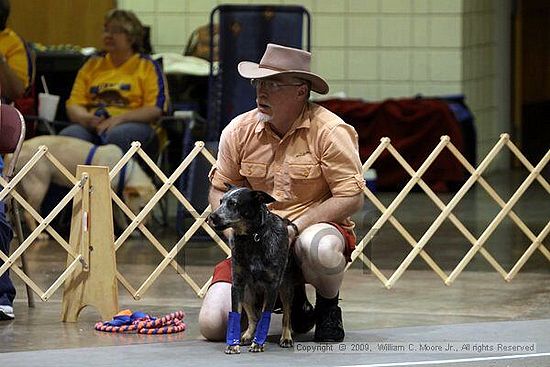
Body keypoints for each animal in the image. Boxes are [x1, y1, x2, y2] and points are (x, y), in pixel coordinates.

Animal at [208, 187, 298, 354]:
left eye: (233, 203)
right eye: (221, 201)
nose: (212, 216)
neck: (252, 238)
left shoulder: (272, 287)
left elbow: (266, 316)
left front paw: (258, 343)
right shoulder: (237, 285)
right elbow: (236, 313)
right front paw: (233, 344)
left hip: (285, 286)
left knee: (287, 314)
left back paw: (286, 337)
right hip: (248, 292)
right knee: (253, 317)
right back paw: (248, 335)